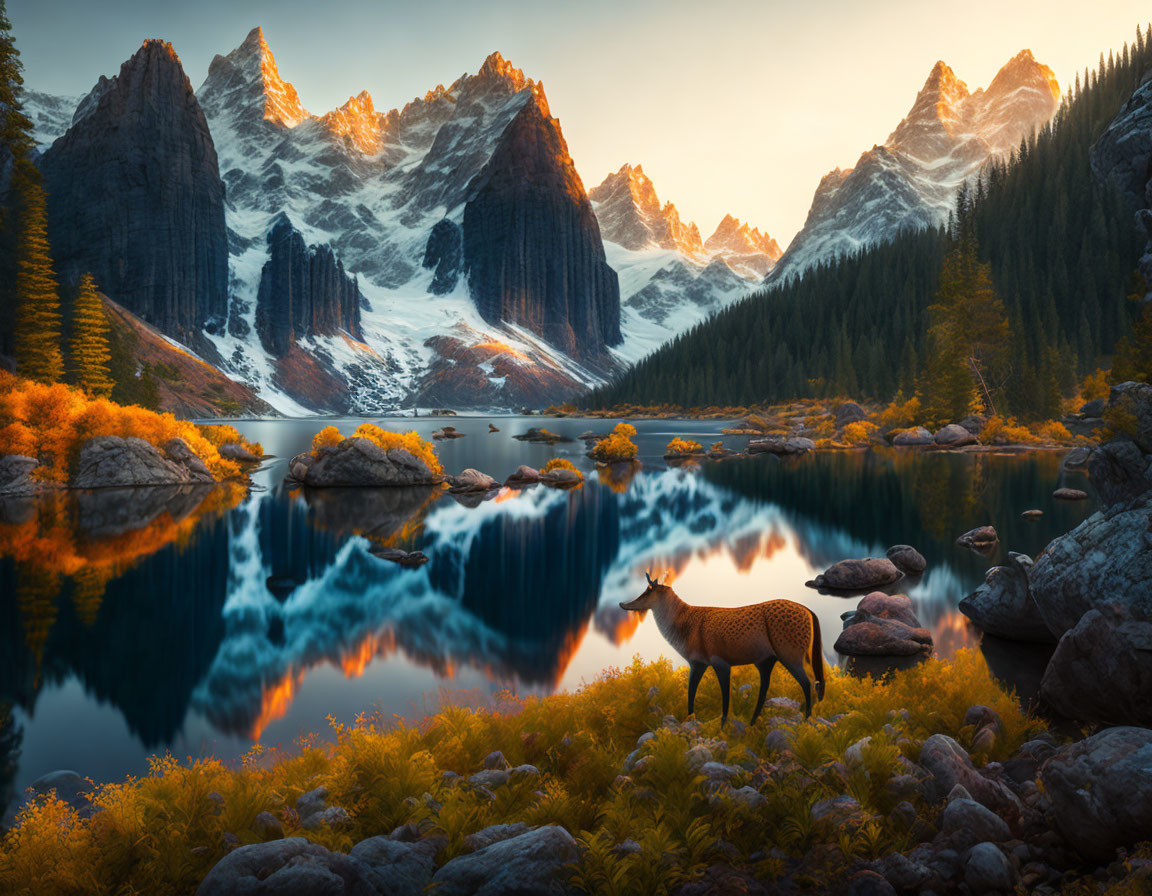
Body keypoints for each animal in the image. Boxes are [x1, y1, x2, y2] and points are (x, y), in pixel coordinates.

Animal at [622, 573, 829, 727]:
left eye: (647, 592)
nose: (624, 604)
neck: (684, 629)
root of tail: (808, 611)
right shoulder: (698, 663)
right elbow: (691, 692)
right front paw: (690, 720)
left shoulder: (718, 662)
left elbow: (724, 696)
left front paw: (721, 726)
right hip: (773, 660)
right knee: (790, 685)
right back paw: (754, 722)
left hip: (790, 656)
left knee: (809, 684)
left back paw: (806, 719)